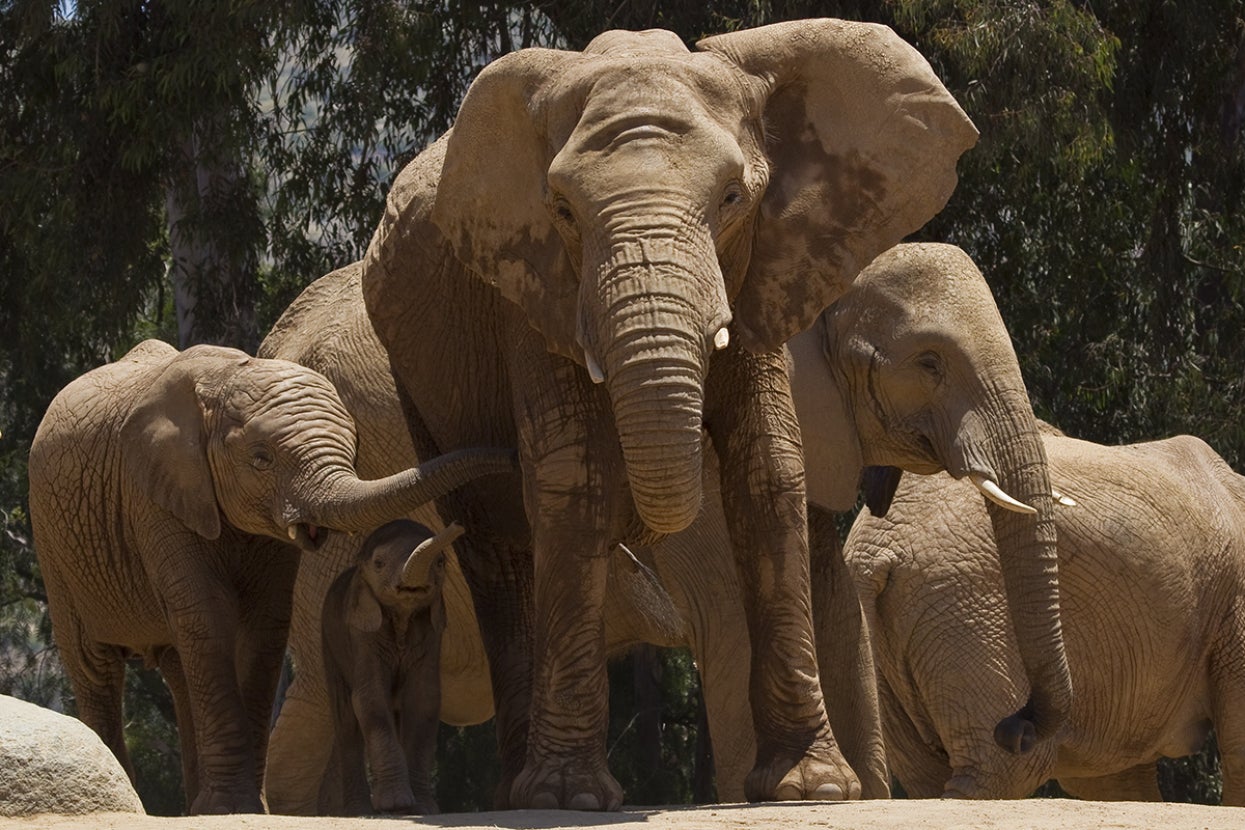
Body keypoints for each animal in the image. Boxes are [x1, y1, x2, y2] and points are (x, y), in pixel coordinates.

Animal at [319, 520, 465, 816]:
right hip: (328, 642)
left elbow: (425, 700)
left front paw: (422, 808)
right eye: (378, 564)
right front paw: (397, 804)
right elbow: (370, 698)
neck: (402, 614)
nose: (459, 525)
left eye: (441, 562)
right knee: (347, 722)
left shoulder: (431, 634)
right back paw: (359, 811)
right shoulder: (361, 634)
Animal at [359, 19, 984, 809]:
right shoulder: (527, 287)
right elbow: (575, 482)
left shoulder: (765, 268)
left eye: (732, 197)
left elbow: (768, 470)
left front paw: (809, 789)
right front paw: (568, 800)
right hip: (420, 387)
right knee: (495, 547)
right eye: (562, 211)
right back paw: (517, 795)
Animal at [843, 427, 1245, 805]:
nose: (1020, 728)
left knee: (933, 772)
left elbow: (1113, 780)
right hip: (965, 599)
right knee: (1006, 768)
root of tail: (873, 551)